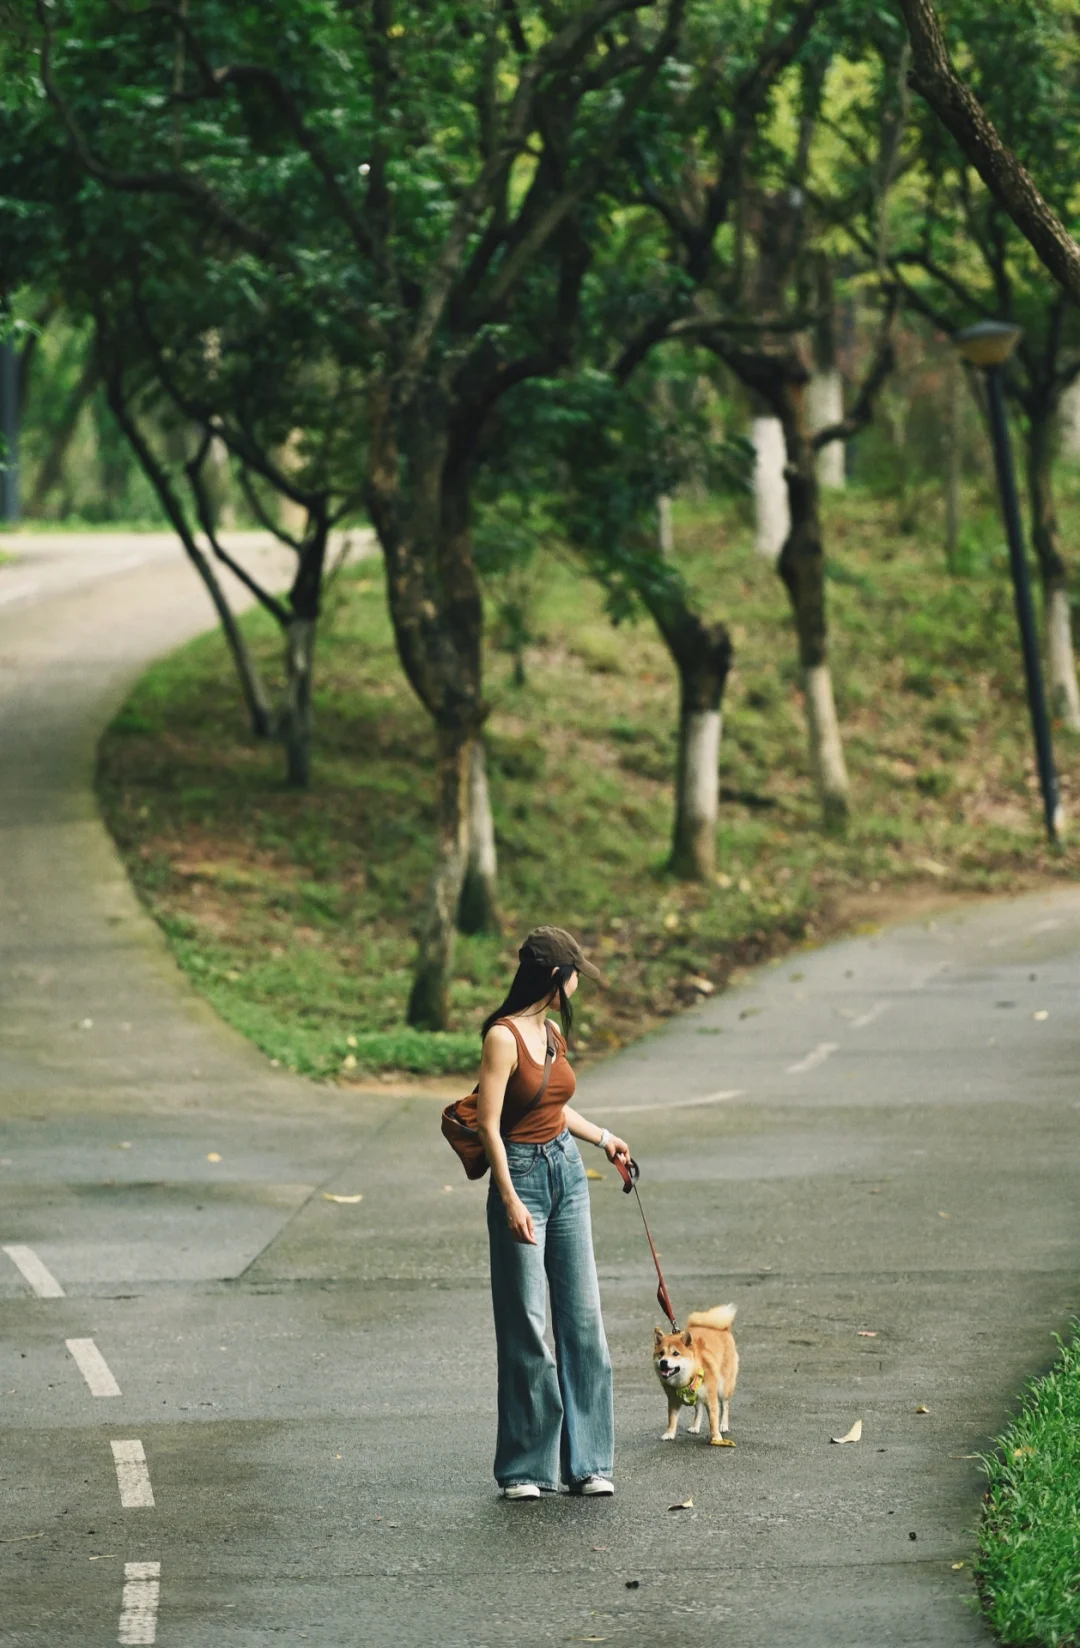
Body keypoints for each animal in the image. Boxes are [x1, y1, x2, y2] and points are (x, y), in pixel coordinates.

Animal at [656, 1311, 738, 1443]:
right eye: (661, 1353)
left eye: (675, 1353)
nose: (663, 1362)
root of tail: (722, 1328)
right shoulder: (673, 1401)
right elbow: (672, 1419)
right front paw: (669, 1433)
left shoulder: (711, 1399)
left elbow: (713, 1421)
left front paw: (716, 1437)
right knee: (699, 1409)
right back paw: (695, 1427)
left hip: (723, 1388)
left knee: (725, 1405)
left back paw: (724, 1425)